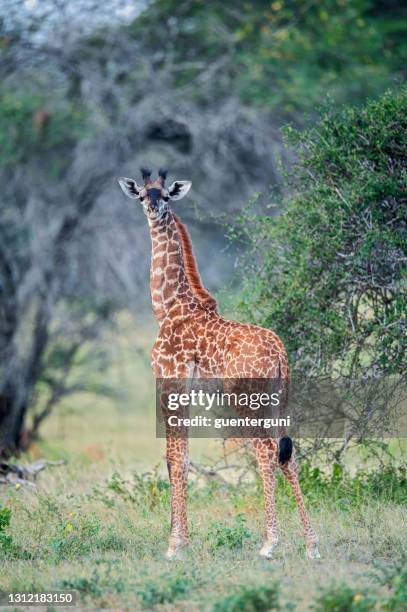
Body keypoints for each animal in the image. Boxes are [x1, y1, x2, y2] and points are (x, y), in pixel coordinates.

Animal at [119, 167, 320, 560]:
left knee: (266, 450)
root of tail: (280, 352)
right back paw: (311, 545)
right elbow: (180, 456)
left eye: (166, 196)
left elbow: (174, 458)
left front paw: (174, 544)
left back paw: (269, 543)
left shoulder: (170, 382)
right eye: (143, 195)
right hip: (277, 401)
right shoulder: (186, 392)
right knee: (288, 453)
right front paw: (182, 539)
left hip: (247, 400)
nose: (152, 209)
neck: (168, 307)